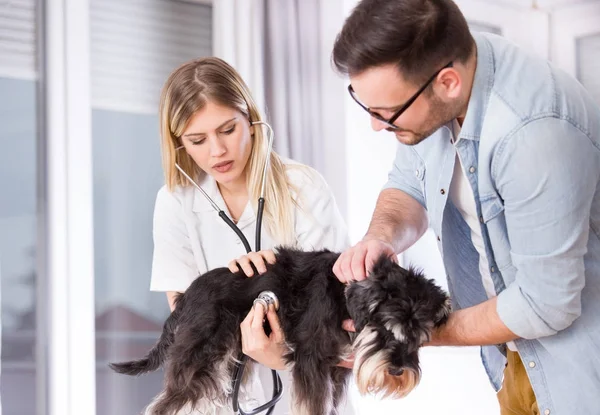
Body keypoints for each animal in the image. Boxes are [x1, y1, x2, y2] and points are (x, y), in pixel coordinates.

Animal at [111, 249, 450, 415]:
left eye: (419, 339)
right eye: (385, 328)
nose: (399, 370)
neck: (344, 297)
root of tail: (188, 293)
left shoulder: (336, 371)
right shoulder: (312, 362)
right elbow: (313, 406)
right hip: (199, 359)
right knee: (164, 405)